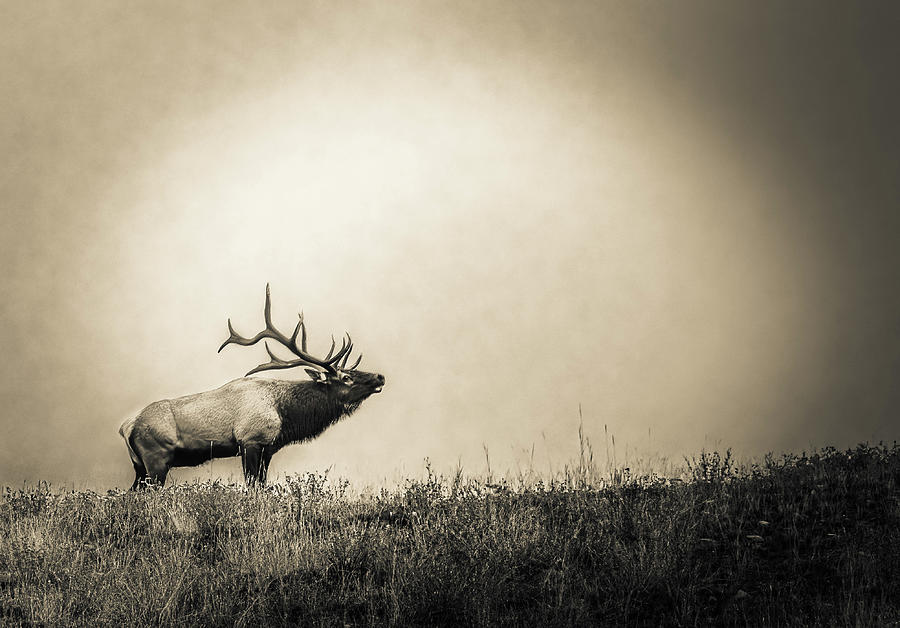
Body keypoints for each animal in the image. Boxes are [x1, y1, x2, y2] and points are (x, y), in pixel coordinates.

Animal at [118, 284, 384, 486]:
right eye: (346, 377)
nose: (380, 377)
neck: (285, 415)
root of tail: (126, 426)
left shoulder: (268, 449)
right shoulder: (250, 441)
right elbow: (253, 486)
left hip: (140, 466)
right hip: (156, 458)